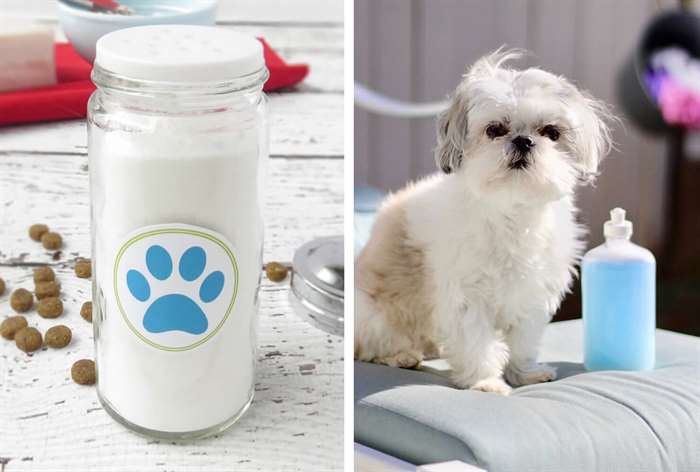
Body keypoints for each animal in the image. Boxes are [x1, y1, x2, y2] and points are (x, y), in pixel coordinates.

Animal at [356, 48, 612, 394]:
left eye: (551, 132)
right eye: (495, 130)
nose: (523, 140)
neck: (512, 212)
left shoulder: (531, 294)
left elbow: (523, 341)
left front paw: (524, 374)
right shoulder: (467, 297)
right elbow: (478, 342)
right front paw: (486, 382)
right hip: (375, 316)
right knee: (372, 344)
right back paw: (401, 356)